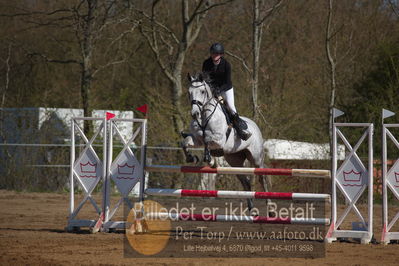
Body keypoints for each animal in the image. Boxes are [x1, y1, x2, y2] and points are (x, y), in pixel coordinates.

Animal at [182, 72, 272, 212]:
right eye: (189, 92)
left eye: (202, 91)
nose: (195, 114)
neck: (204, 117)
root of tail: (255, 125)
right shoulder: (197, 139)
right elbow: (186, 142)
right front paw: (192, 158)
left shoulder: (219, 140)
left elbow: (207, 139)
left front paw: (210, 160)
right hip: (235, 161)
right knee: (245, 182)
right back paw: (251, 209)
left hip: (256, 158)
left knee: (262, 178)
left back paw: (270, 209)